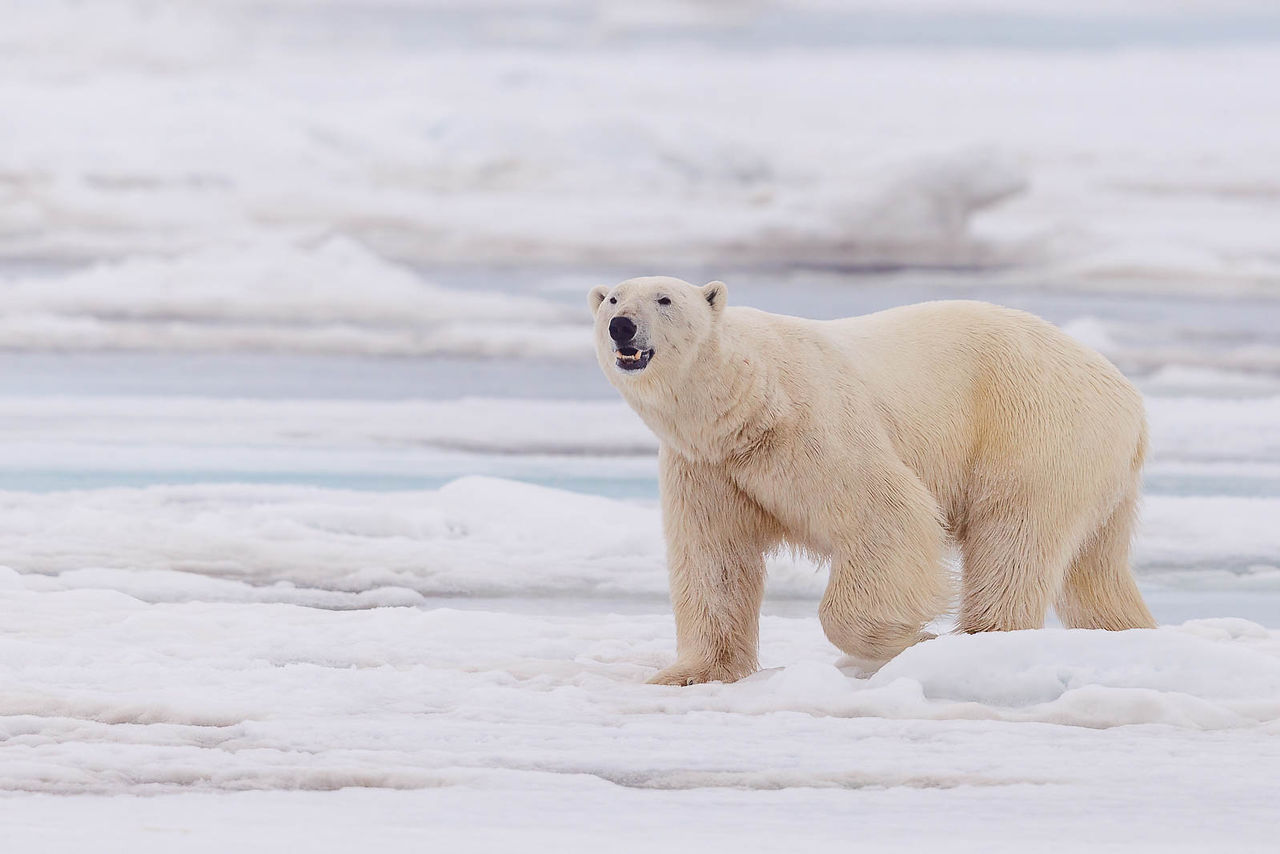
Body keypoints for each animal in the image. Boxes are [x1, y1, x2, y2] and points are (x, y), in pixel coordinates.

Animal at [589, 276, 1156, 686]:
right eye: (613, 296)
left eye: (664, 298)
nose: (621, 325)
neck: (749, 402)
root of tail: (1128, 396)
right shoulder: (709, 466)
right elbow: (714, 560)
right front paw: (688, 673)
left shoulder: (814, 426)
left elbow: (887, 514)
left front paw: (910, 641)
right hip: (1098, 470)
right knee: (1095, 569)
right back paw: (1127, 633)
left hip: (1035, 428)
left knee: (1013, 539)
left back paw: (977, 640)